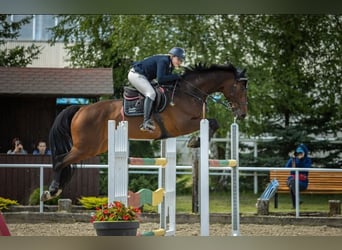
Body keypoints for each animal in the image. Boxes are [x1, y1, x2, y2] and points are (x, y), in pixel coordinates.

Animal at [41, 62, 247, 201]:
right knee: (60, 161)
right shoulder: (183, 124)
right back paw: (51, 192)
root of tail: (81, 109)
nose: (243, 114)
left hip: (96, 147)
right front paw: (195, 141)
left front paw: (196, 141)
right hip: (85, 147)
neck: (190, 92)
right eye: (241, 88)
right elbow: (212, 122)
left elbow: (213, 123)